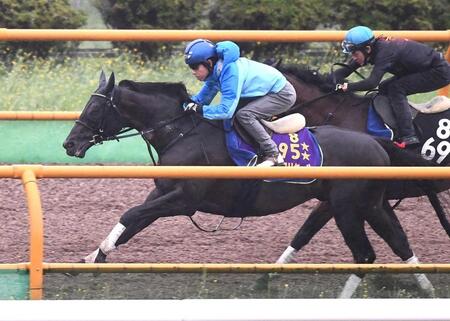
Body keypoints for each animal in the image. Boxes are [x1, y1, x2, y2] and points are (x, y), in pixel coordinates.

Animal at [64, 71, 440, 296]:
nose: (69, 143)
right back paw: (427, 287)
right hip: (369, 204)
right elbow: (131, 224)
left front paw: (94, 257)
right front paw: (90, 259)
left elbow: (130, 215)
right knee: (398, 241)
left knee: (365, 254)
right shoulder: (164, 192)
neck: (182, 132)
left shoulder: (184, 200)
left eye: (94, 108)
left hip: (347, 207)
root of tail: (376, 142)